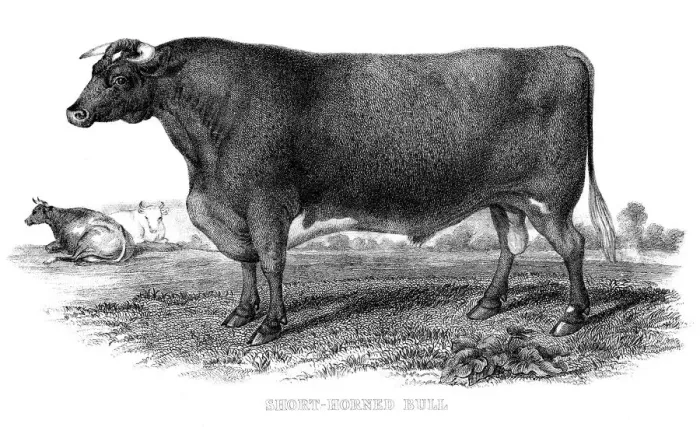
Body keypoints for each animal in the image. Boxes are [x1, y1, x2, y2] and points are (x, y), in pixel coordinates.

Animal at [67, 38, 616, 345]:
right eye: (93, 72)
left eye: (120, 77)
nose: (75, 112)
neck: (205, 160)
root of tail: (560, 51)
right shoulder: (228, 208)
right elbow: (244, 260)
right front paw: (241, 313)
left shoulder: (267, 204)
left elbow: (271, 262)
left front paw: (270, 326)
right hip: (504, 198)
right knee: (511, 246)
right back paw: (487, 304)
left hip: (550, 197)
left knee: (573, 246)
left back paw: (572, 317)